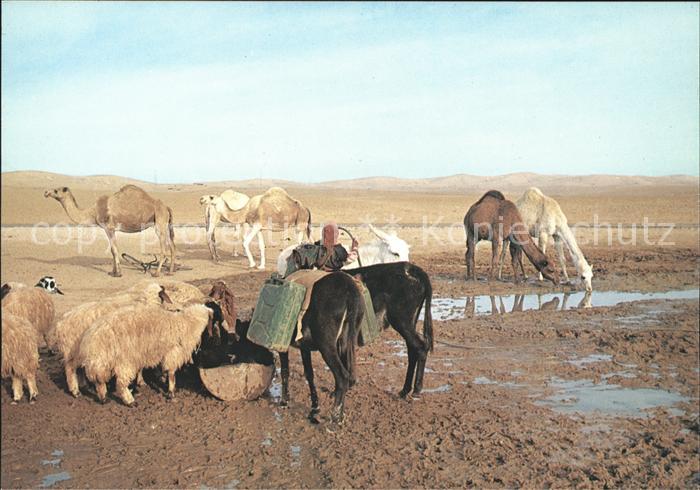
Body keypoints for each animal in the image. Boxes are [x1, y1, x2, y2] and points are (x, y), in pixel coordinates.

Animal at [44, 185, 176, 277]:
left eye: (56, 190)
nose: (46, 192)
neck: (93, 212)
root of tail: (166, 207)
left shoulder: (109, 228)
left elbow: (114, 250)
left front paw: (118, 273)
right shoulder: (108, 229)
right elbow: (113, 251)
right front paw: (113, 272)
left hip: (159, 221)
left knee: (164, 248)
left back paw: (156, 273)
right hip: (165, 224)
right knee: (172, 246)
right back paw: (170, 272)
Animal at [76, 302, 220, 406]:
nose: (215, 335)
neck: (187, 324)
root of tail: (92, 342)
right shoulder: (172, 353)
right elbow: (171, 374)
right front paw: (171, 392)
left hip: (101, 365)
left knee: (99, 382)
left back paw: (103, 398)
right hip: (124, 360)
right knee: (121, 383)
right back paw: (130, 401)